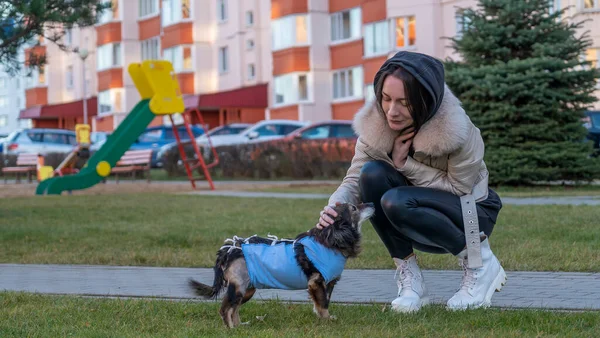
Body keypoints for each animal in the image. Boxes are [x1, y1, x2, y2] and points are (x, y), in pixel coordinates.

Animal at [189, 202, 376, 328]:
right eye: (353, 208)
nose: (372, 203)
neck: (328, 241)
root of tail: (228, 250)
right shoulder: (316, 282)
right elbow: (323, 304)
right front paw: (327, 321)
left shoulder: (328, 283)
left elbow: (322, 302)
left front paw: (323, 319)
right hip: (238, 286)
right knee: (225, 309)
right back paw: (231, 329)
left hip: (248, 289)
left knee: (234, 309)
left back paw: (240, 327)